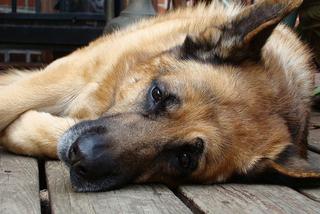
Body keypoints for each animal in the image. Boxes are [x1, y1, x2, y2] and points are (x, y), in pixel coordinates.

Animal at [0, 0, 320, 191]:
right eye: (157, 94)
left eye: (185, 158)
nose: (80, 158)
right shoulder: (69, 77)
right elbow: (10, 101)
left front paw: (22, 130)